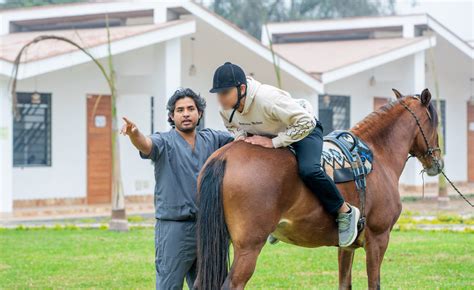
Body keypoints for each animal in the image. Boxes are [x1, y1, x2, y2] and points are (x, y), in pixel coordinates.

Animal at [195, 89, 444, 290]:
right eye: (435, 123)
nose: (437, 162)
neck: (377, 154)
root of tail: (225, 157)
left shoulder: (347, 247)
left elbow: (344, 283)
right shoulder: (378, 239)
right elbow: (374, 284)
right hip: (248, 248)